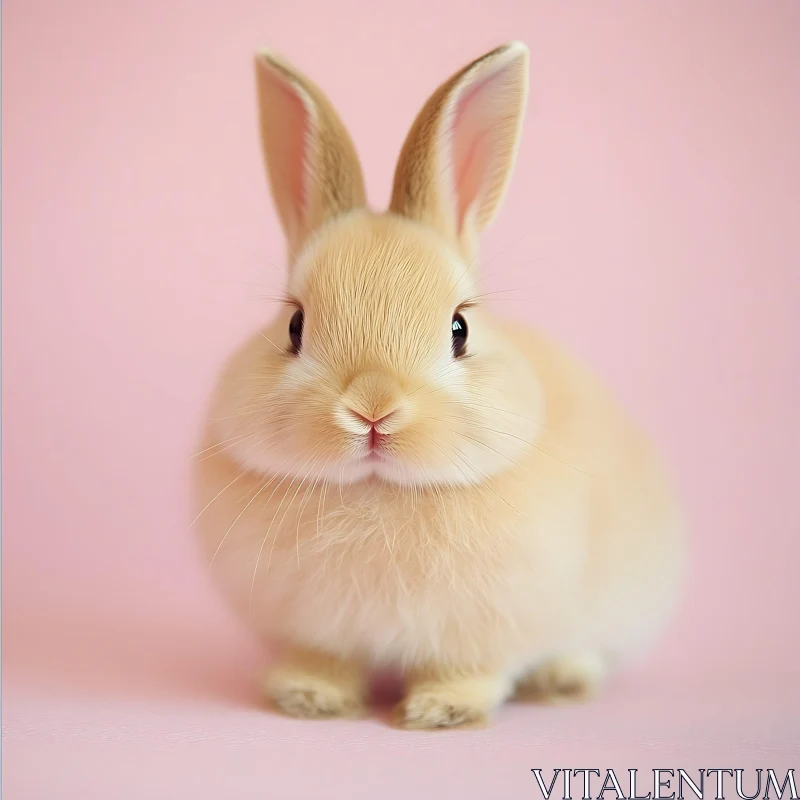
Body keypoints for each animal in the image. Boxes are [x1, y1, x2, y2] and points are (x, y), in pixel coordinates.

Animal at [192, 43, 680, 732]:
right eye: (294, 326)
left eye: (459, 328)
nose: (373, 411)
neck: (378, 493)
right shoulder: (315, 631)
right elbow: (325, 660)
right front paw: (308, 696)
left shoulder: (488, 630)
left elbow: (470, 670)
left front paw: (442, 711)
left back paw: (564, 680)